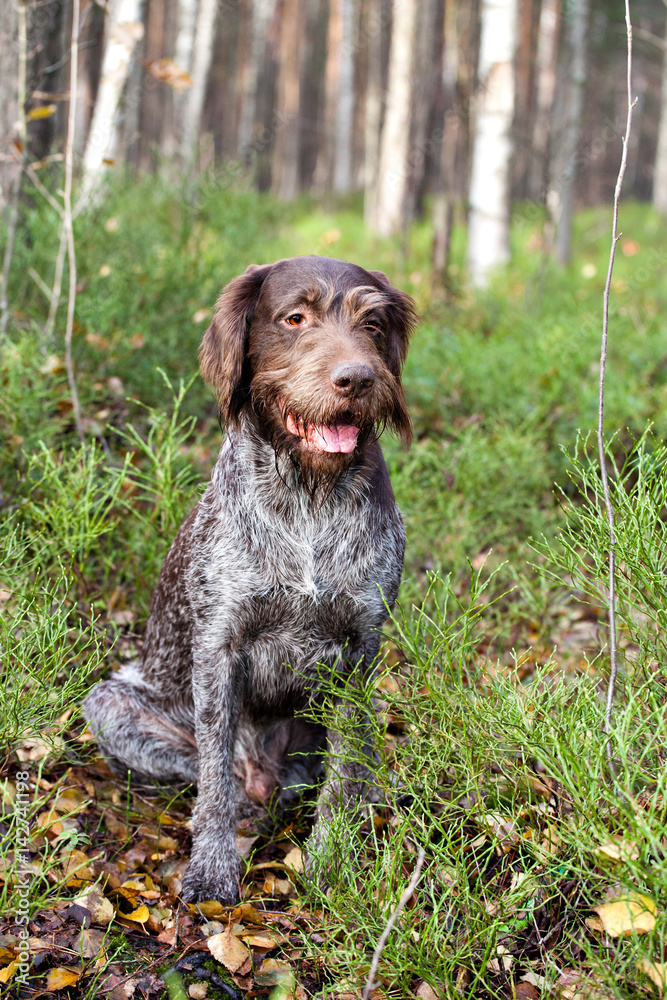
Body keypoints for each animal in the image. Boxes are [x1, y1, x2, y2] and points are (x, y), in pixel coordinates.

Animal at [83, 254, 418, 904]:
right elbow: (214, 778)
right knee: (217, 777)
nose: (358, 379)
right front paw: (212, 869)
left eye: (372, 324)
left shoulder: (359, 649)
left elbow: (344, 769)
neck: (310, 495)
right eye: (294, 318)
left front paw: (331, 860)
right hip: (111, 702)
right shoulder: (220, 646)